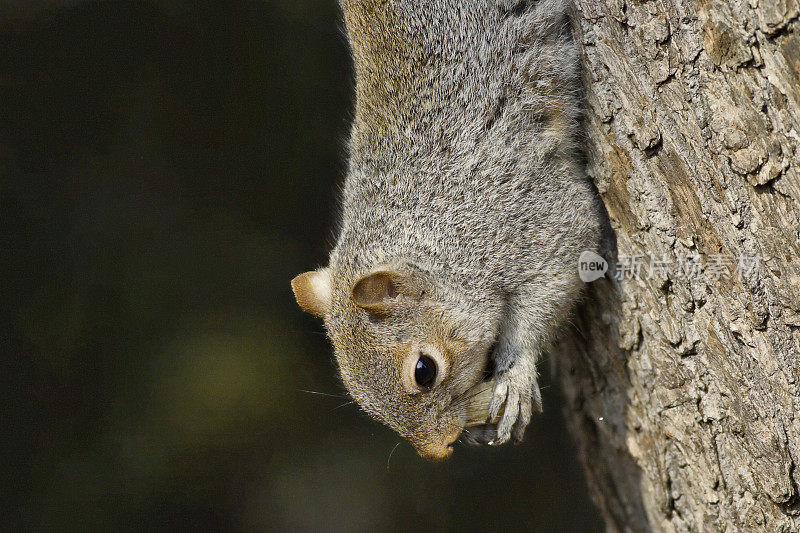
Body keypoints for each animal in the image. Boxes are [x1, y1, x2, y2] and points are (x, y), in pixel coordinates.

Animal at [292, 0, 600, 458]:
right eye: (361, 399)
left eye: (425, 370)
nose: (439, 450)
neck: (442, 230)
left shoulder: (532, 215)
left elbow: (556, 276)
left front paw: (516, 373)